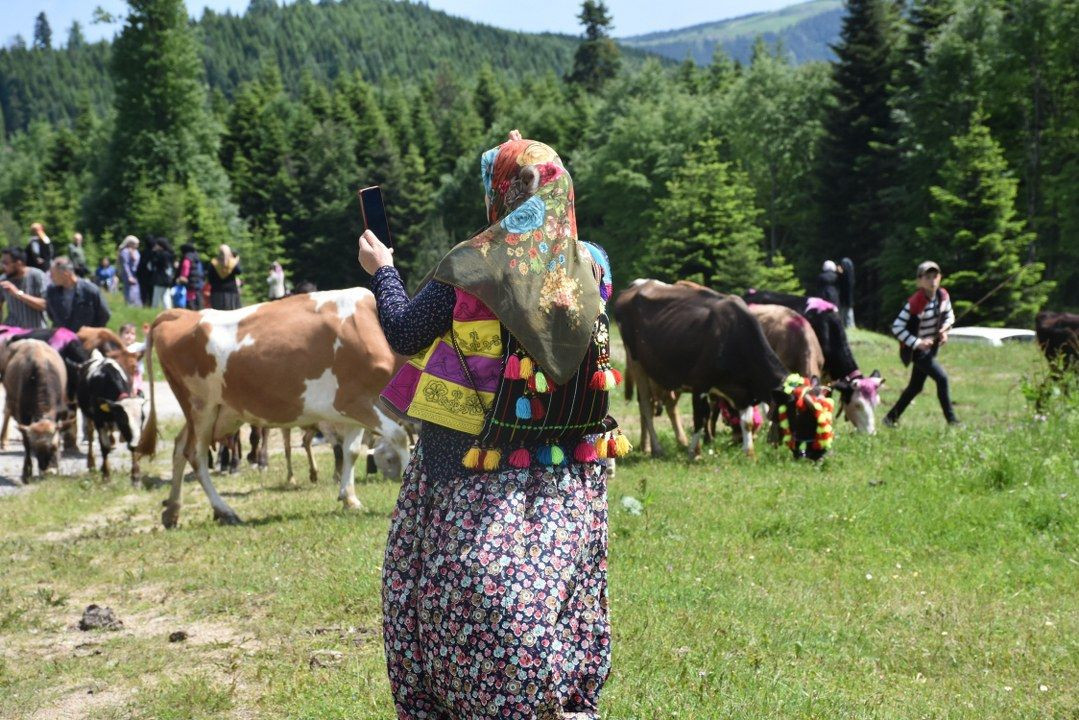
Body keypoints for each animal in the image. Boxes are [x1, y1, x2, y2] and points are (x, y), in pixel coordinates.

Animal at [3, 338, 72, 483]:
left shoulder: (60, 411)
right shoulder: (23, 414)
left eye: (55, 446)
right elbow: (25, 443)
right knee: (7, 411)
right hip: (10, 398)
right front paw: (26, 472)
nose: (50, 472)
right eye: (35, 448)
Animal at [76, 351, 145, 481]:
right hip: (88, 416)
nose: (136, 442)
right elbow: (105, 447)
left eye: (142, 419)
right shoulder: (99, 420)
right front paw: (106, 476)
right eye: (124, 420)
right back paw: (91, 463)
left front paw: (136, 475)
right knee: (90, 434)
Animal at [138, 289, 412, 528]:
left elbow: (352, 451)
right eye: (387, 461)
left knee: (179, 447)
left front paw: (349, 498)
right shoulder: (352, 400)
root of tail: (181, 314)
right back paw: (224, 511)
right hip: (200, 406)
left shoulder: (355, 409)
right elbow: (400, 437)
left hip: (220, 412)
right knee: (195, 454)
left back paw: (172, 511)